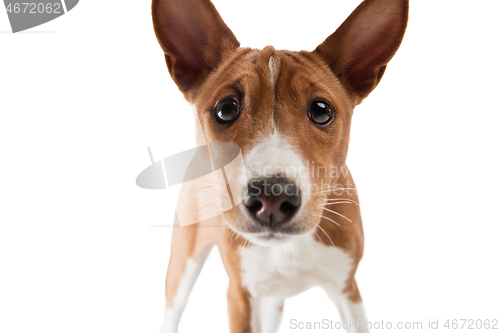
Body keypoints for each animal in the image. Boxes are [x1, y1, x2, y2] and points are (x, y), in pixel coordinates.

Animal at [153, 0, 410, 330]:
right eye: (225, 109)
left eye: (321, 110)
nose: (272, 197)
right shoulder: (240, 295)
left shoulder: (348, 290)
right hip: (183, 262)